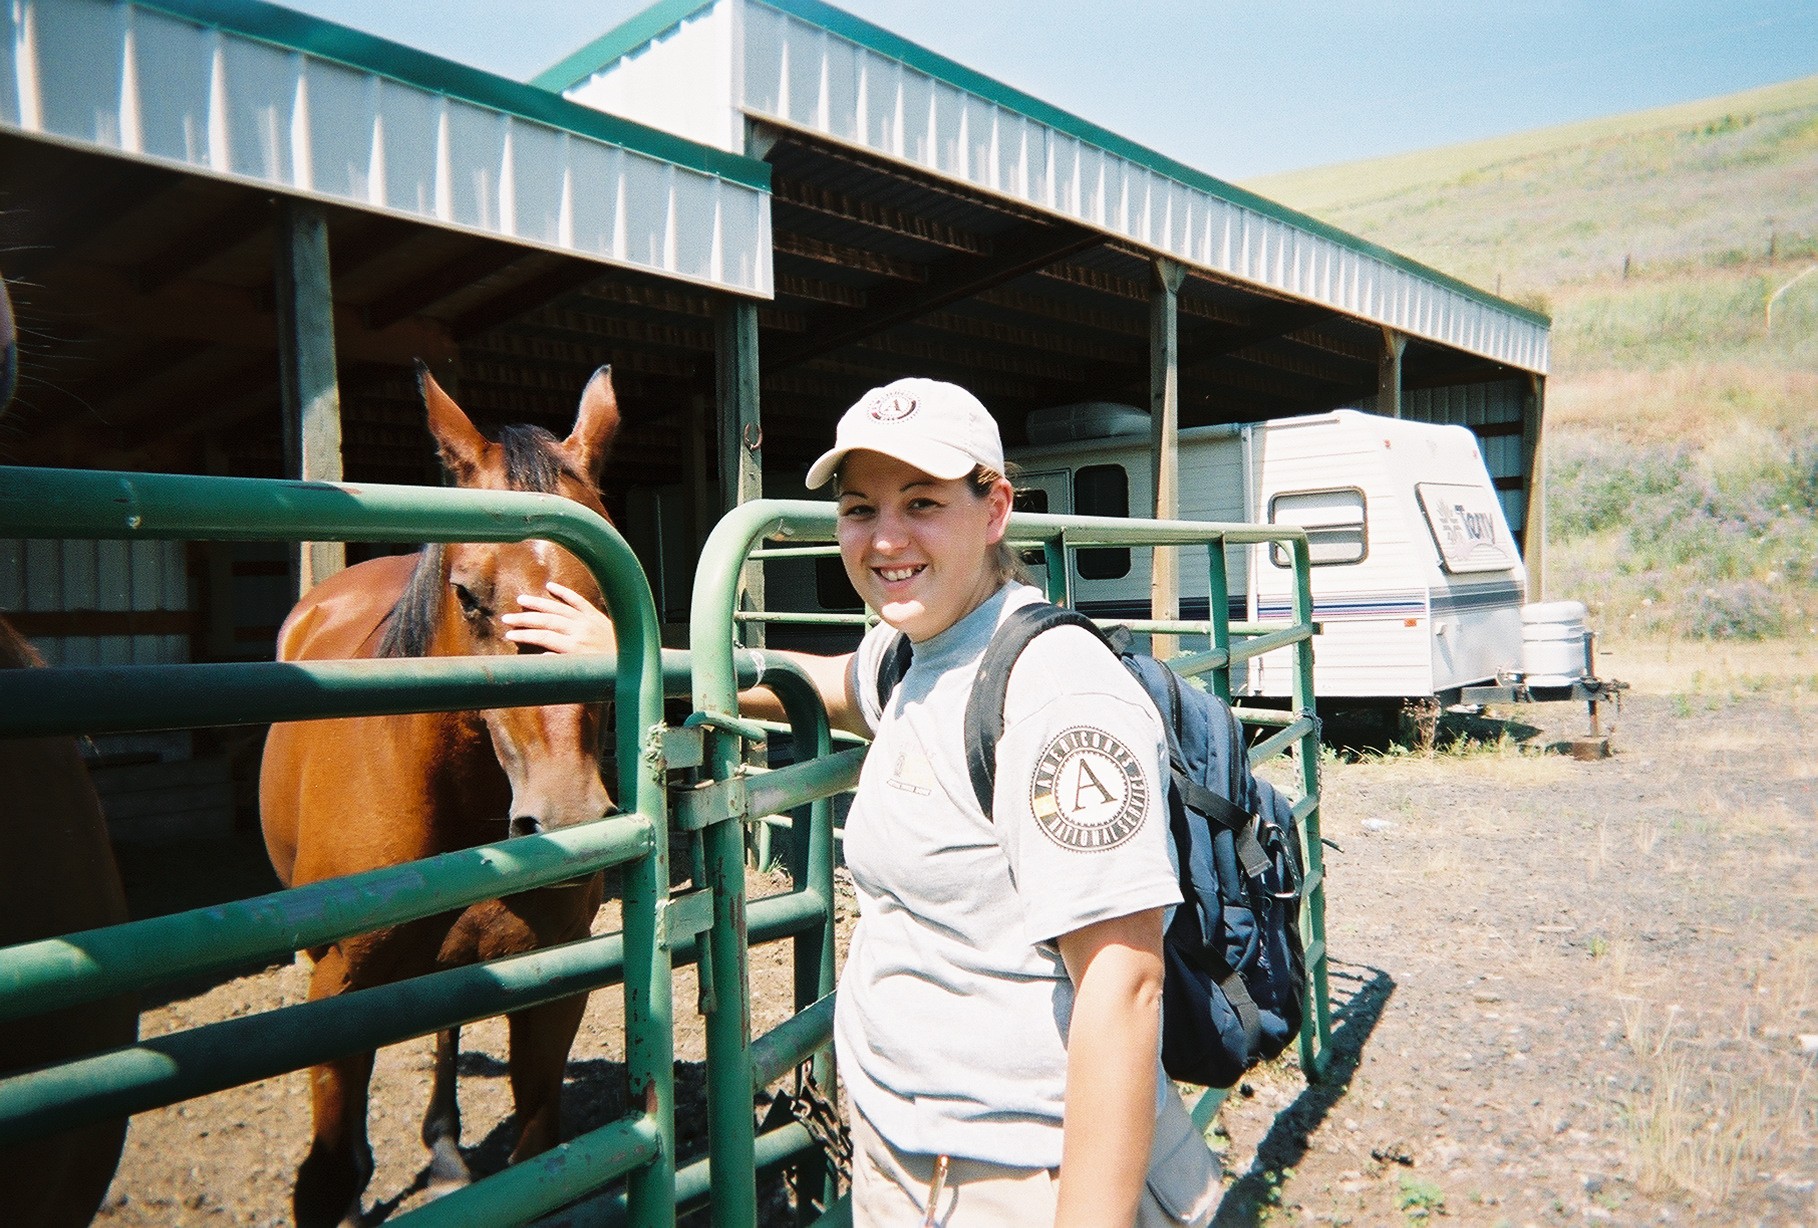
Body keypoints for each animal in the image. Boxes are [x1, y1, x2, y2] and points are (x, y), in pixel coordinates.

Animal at [258, 366, 620, 1227]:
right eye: (470, 595)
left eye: (608, 597)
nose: (568, 815)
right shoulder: (339, 992)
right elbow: (325, 1175)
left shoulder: (555, 978)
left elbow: (538, 1145)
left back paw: (449, 1151)